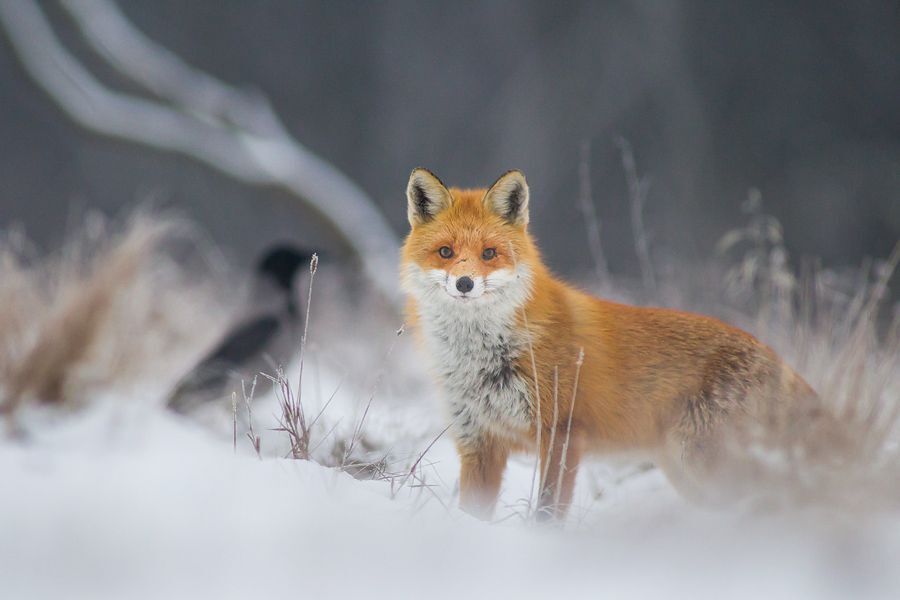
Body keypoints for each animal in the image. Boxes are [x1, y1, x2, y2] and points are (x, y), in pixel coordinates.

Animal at [400, 167, 819, 520]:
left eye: (489, 253)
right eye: (446, 252)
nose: (465, 283)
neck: (482, 357)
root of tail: (780, 362)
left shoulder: (562, 432)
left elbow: (548, 512)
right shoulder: (478, 441)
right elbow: (473, 514)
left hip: (706, 465)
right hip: (688, 472)